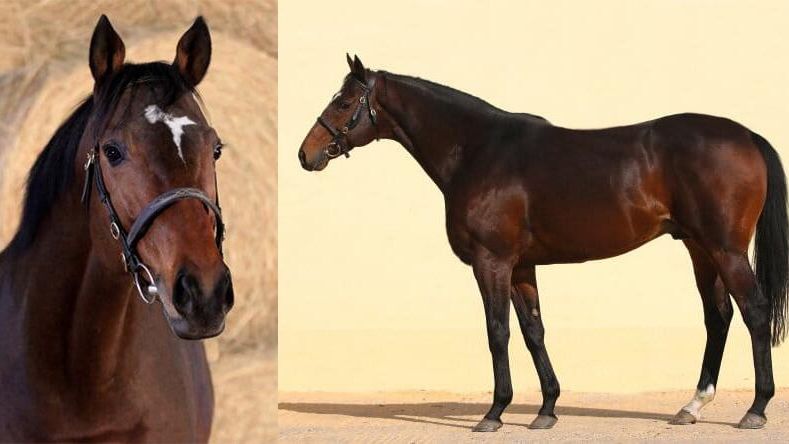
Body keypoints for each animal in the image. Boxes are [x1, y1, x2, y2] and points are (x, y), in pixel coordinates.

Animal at [298, 54, 788, 432]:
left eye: (344, 102)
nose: (306, 154)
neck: (478, 151)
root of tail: (746, 136)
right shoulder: (521, 267)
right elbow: (534, 331)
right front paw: (547, 409)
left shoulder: (491, 262)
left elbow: (497, 331)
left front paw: (494, 413)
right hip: (700, 248)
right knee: (718, 317)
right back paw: (692, 405)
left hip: (725, 250)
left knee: (754, 312)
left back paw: (756, 408)